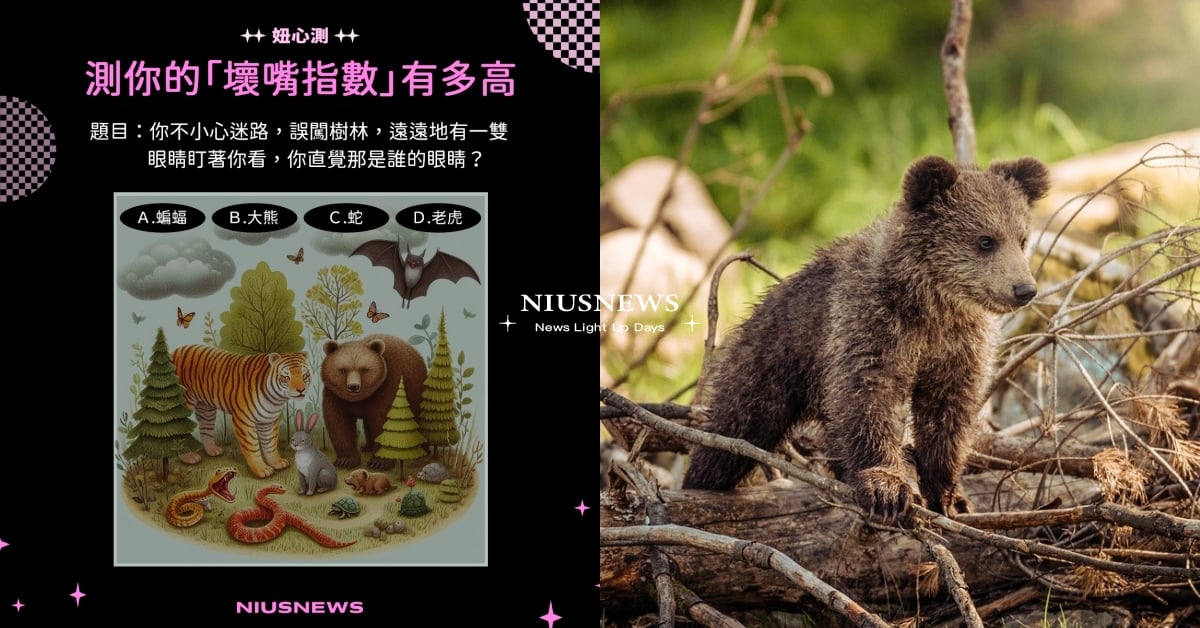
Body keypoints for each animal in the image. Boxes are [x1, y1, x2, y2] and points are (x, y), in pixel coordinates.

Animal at [321, 334, 427, 470]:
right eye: (343, 370)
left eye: (364, 369)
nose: (353, 386)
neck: (360, 399)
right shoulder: (335, 395)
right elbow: (339, 423)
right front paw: (346, 460)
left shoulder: (387, 387)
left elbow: (383, 422)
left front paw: (379, 462)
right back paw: (367, 447)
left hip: (415, 389)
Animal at [682, 155, 1050, 521]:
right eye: (985, 240)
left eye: (1022, 239)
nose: (1024, 289)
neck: (931, 305)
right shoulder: (871, 324)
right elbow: (868, 398)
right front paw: (887, 488)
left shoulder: (957, 347)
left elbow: (948, 413)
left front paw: (949, 496)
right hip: (770, 361)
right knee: (733, 429)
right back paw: (700, 481)